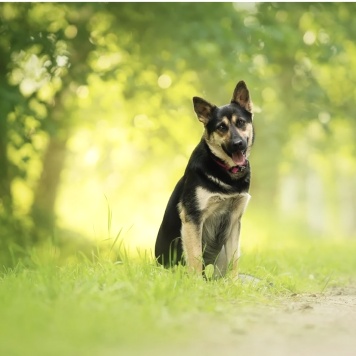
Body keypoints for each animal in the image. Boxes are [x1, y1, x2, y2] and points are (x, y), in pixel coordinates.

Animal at [154, 80, 254, 278]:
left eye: (240, 123)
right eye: (221, 127)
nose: (238, 144)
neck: (226, 170)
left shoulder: (234, 221)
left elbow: (234, 260)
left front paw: (233, 282)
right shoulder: (193, 218)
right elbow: (195, 257)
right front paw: (196, 282)